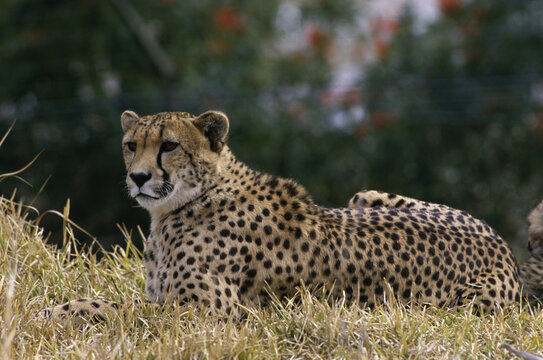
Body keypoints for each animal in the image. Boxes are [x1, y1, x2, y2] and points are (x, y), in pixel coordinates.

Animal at [43, 109, 532, 320]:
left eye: (169, 145)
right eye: (131, 145)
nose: (139, 177)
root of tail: (501, 245)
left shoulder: (211, 312)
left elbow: (120, 306)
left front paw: (65, 309)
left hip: (468, 306)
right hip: (363, 196)